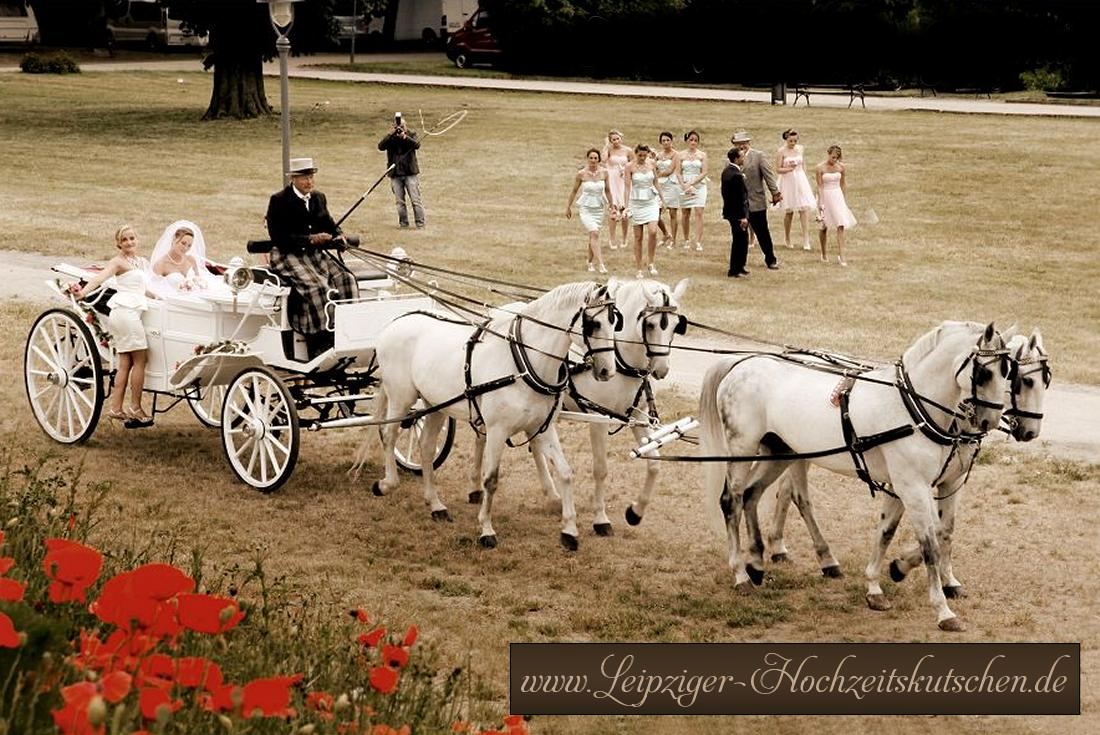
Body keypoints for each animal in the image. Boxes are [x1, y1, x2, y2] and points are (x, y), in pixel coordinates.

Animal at [360, 281, 620, 550]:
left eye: (615, 322)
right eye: (594, 323)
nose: (607, 371)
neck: (523, 363)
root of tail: (397, 321)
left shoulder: (543, 428)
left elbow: (565, 473)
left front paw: (569, 530)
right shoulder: (497, 430)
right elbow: (491, 480)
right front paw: (486, 529)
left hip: (435, 405)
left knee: (426, 446)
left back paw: (436, 505)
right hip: (401, 397)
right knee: (388, 434)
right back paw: (387, 484)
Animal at [530, 275, 690, 534]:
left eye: (676, 325)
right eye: (651, 325)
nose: (661, 370)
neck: (620, 360)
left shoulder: (638, 418)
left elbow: (654, 462)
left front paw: (635, 511)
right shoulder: (598, 420)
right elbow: (601, 469)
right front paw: (600, 519)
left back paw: (552, 495)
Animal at [699, 321, 1007, 633]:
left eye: (1008, 371)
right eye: (985, 372)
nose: (990, 422)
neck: (910, 407)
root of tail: (741, 363)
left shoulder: (906, 485)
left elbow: (889, 532)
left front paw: (878, 585)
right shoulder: (913, 487)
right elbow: (930, 544)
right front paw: (943, 611)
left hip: (779, 452)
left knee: (752, 493)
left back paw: (758, 564)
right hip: (742, 449)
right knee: (732, 500)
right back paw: (741, 574)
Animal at [765, 330, 1047, 598]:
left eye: (1045, 381)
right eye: (1024, 379)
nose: (1031, 431)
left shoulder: (947, 481)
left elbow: (941, 530)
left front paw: (947, 580)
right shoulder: (911, 483)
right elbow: (932, 531)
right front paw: (900, 567)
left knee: (786, 492)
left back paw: (778, 546)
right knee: (800, 497)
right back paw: (824, 559)